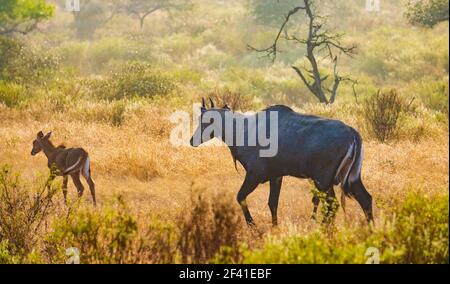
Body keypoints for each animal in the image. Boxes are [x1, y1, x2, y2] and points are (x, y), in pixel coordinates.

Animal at [190, 99, 372, 226]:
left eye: (206, 121)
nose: (192, 141)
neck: (244, 129)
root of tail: (353, 134)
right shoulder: (276, 176)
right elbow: (273, 203)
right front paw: (274, 227)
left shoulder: (254, 175)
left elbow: (240, 196)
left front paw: (253, 225)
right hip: (351, 179)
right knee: (365, 200)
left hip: (323, 181)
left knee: (332, 206)